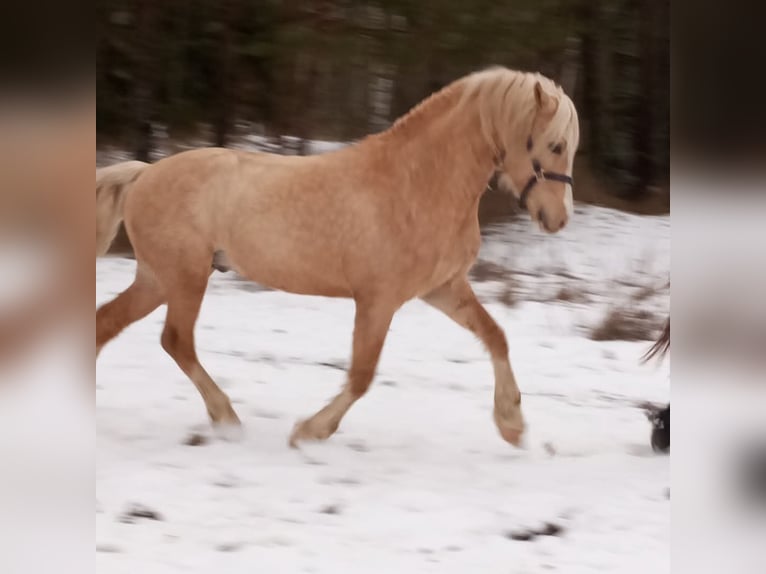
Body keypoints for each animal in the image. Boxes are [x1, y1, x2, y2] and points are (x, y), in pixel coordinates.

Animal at [96, 66, 580, 446]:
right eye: (555, 145)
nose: (558, 219)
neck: (417, 184)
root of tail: (144, 174)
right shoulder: (378, 300)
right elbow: (362, 375)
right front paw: (310, 431)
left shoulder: (443, 288)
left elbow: (496, 336)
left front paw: (512, 424)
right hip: (185, 277)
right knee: (176, 341)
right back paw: (227, 418)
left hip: (159, 279)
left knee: (108, 324)